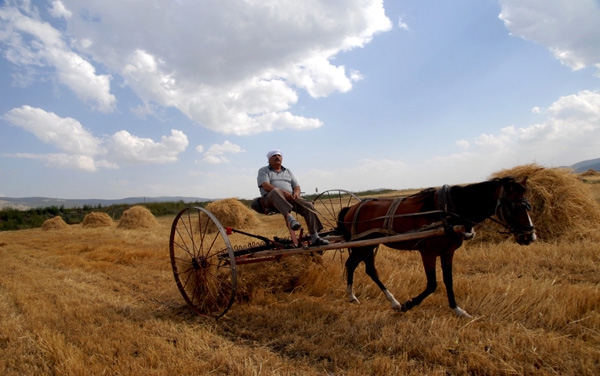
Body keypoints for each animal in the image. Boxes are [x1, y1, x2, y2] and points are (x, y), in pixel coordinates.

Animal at [336, 176, 536, 318]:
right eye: (514, 207)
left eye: (528, 205)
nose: (530, 236)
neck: (450, 211)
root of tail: (352, 207)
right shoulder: (428, 253)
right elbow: (432, 284)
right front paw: (408, 305)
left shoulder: (448, 252)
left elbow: (449, 280)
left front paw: (457, 309)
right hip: (363, 245)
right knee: (357, 266)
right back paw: (363, 297)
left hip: (369, 245)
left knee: (363, 267)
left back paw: (379, 299)